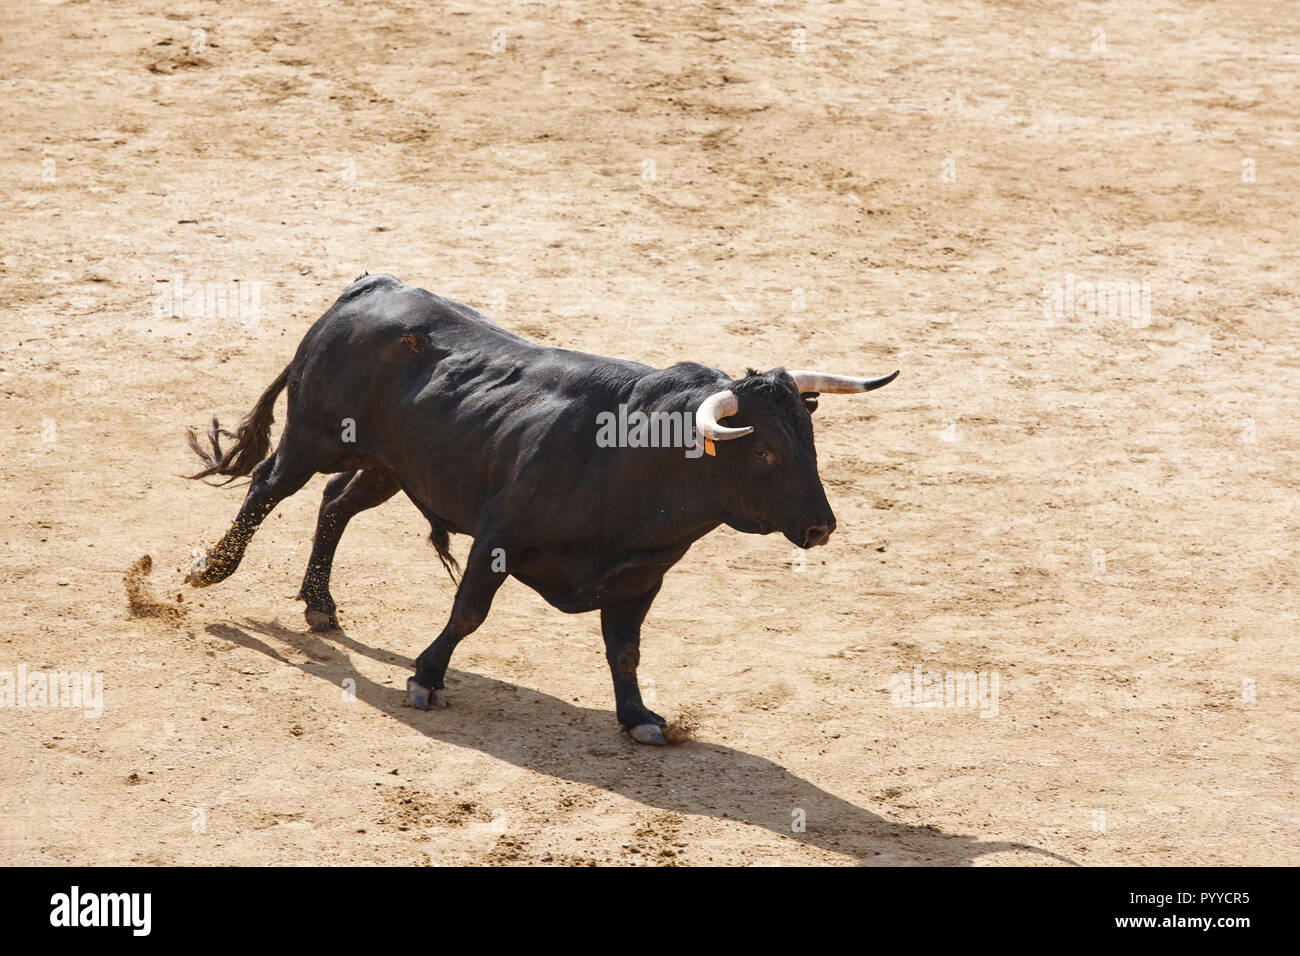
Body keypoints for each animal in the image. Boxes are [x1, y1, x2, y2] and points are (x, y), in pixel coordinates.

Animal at [184, 274, 897, 744]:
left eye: (808, 442)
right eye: (766, 452)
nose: (821, 526)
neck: (638, 458)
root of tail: (367, 289)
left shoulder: (641, 576)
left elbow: (625, 649)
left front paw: (638, 718)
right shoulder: (500, 536)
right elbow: (468, 612)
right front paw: (426, 679)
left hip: (390, 466)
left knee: (336, 503)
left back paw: (319, 603)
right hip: (314, 437)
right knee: (269, 487)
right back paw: (210, 569)